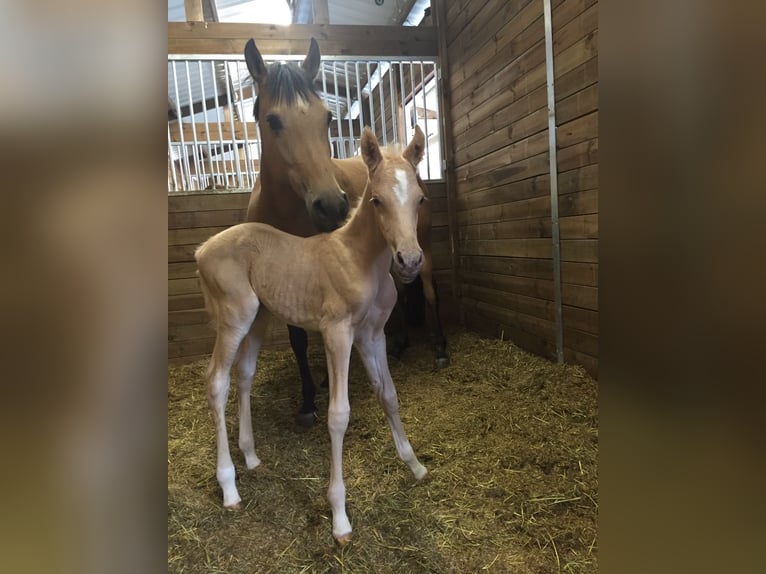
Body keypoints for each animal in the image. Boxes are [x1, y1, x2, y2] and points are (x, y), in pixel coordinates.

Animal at [195, 128, 428, 548]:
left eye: (420, 198)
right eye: (377, 200)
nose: (410, 261)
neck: (360, 259)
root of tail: (202, 250)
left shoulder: (372, 335)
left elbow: (388, 394)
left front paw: (414, 464)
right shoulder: (337, 332)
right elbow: (338, 415)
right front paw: (339, 519)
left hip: (259, 318)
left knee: (244, 374)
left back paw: (251, 457)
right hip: (234, 317)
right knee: (217, 381)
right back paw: (229, 488)